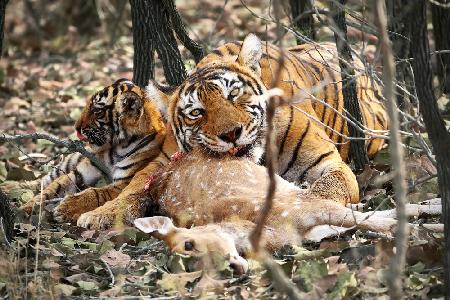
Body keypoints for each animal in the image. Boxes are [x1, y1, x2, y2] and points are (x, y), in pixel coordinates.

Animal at [21, 78, 167, 223]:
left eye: (97, 111)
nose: (76, 127)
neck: (116, 148)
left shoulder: (123, 183)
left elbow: (97, 193)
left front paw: (66, 208)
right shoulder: (80, 173)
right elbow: (51, 189)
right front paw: (27, 207)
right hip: (68, 162)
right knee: (45, 179)